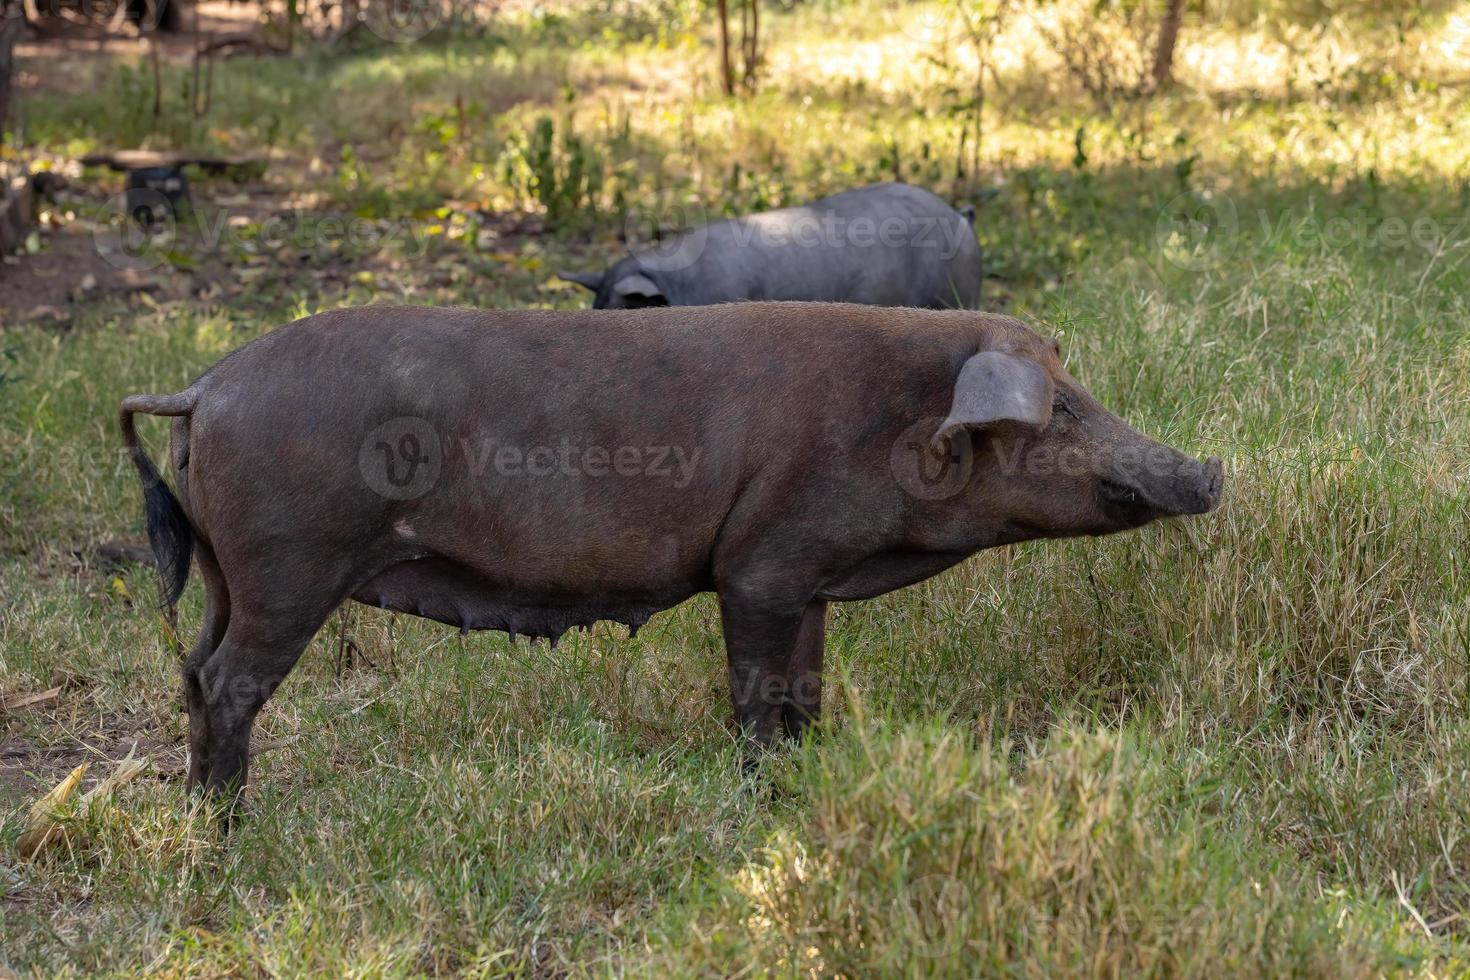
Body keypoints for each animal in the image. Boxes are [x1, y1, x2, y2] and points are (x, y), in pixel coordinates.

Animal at [114, 302, 1223, 799]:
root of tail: (205, 386)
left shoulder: (809, 579)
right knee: (230, 681)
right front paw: (761, 796)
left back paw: (203, 807)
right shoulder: (759, 565)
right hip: (287, 566)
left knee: (195, 668)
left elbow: (807, 694)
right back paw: (229, 824)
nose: (1211, 469)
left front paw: (806, 780)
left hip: (225, 570)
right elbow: (756, 696)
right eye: (1062, 407)